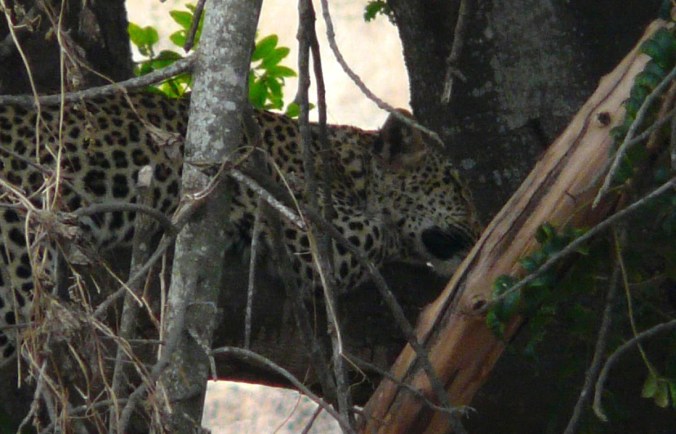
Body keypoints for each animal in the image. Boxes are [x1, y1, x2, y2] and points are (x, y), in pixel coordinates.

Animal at [0, 90, 481, 362]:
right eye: (458, 186)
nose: (481, 230)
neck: (348, 167)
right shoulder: (310, 234)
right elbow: (378, 234)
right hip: (18, 256)